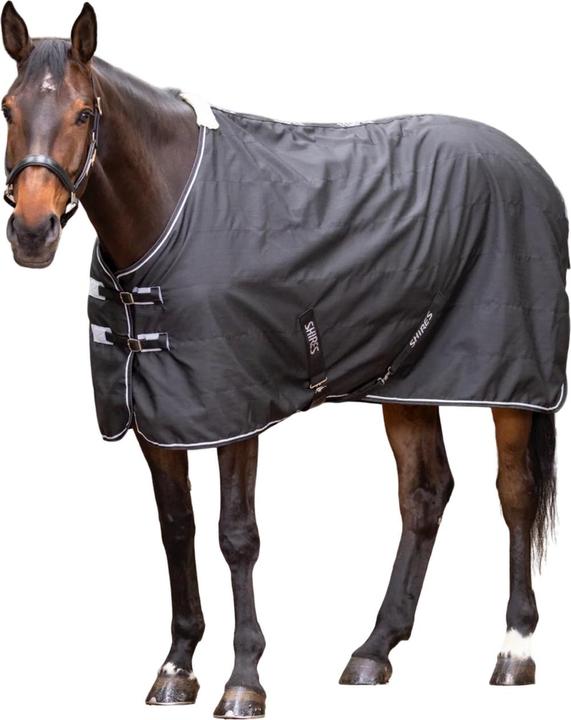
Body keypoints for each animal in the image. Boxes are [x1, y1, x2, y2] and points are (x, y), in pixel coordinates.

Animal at [2, 2, 568, 717]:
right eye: (7, 108)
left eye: (82, 112)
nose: (31, 233)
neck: (171, 210)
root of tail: (529, 167)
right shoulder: (156, 416)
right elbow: (176, 528)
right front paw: (177, 666)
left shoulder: (233, 410)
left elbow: (235, 535)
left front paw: (243, 679)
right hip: (408, 379)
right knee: (424, 495)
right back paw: (373, 650)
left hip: (508, 381)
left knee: (515, 492)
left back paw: (514, 651)